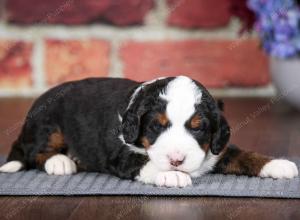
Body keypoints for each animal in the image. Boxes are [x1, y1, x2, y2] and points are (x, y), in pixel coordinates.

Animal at [0, 76, 298, 187]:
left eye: (198, 129)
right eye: (156, 126)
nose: (177, 160)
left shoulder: (216, 149)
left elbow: (242, 154)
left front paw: (278, 164)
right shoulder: (121, 154)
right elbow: (146, 163)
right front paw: (172, 175)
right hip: (47, 123)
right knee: (35, 152)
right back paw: (60, 161)